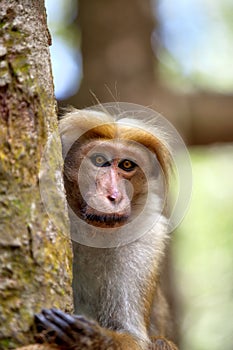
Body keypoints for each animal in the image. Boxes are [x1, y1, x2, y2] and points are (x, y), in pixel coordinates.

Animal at [35, 107, 178, 350]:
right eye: (99, 159)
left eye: (127, 165)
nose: (114, 196)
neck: (93, 233)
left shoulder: (145, 240)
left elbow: (134, 339)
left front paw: (86, 335)